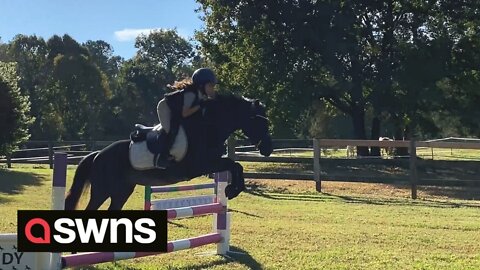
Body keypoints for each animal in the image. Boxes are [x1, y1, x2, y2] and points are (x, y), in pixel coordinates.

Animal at [64, 95, 272, 211]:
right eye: (260, 122)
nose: (268, 149)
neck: (206, 127)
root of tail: (97, 154)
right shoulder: (201, 165)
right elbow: (233, 164)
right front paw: (231, 190)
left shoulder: (211, 162)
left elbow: (236, 165)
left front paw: (232, 190)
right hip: (102, 190)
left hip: (122, 190)